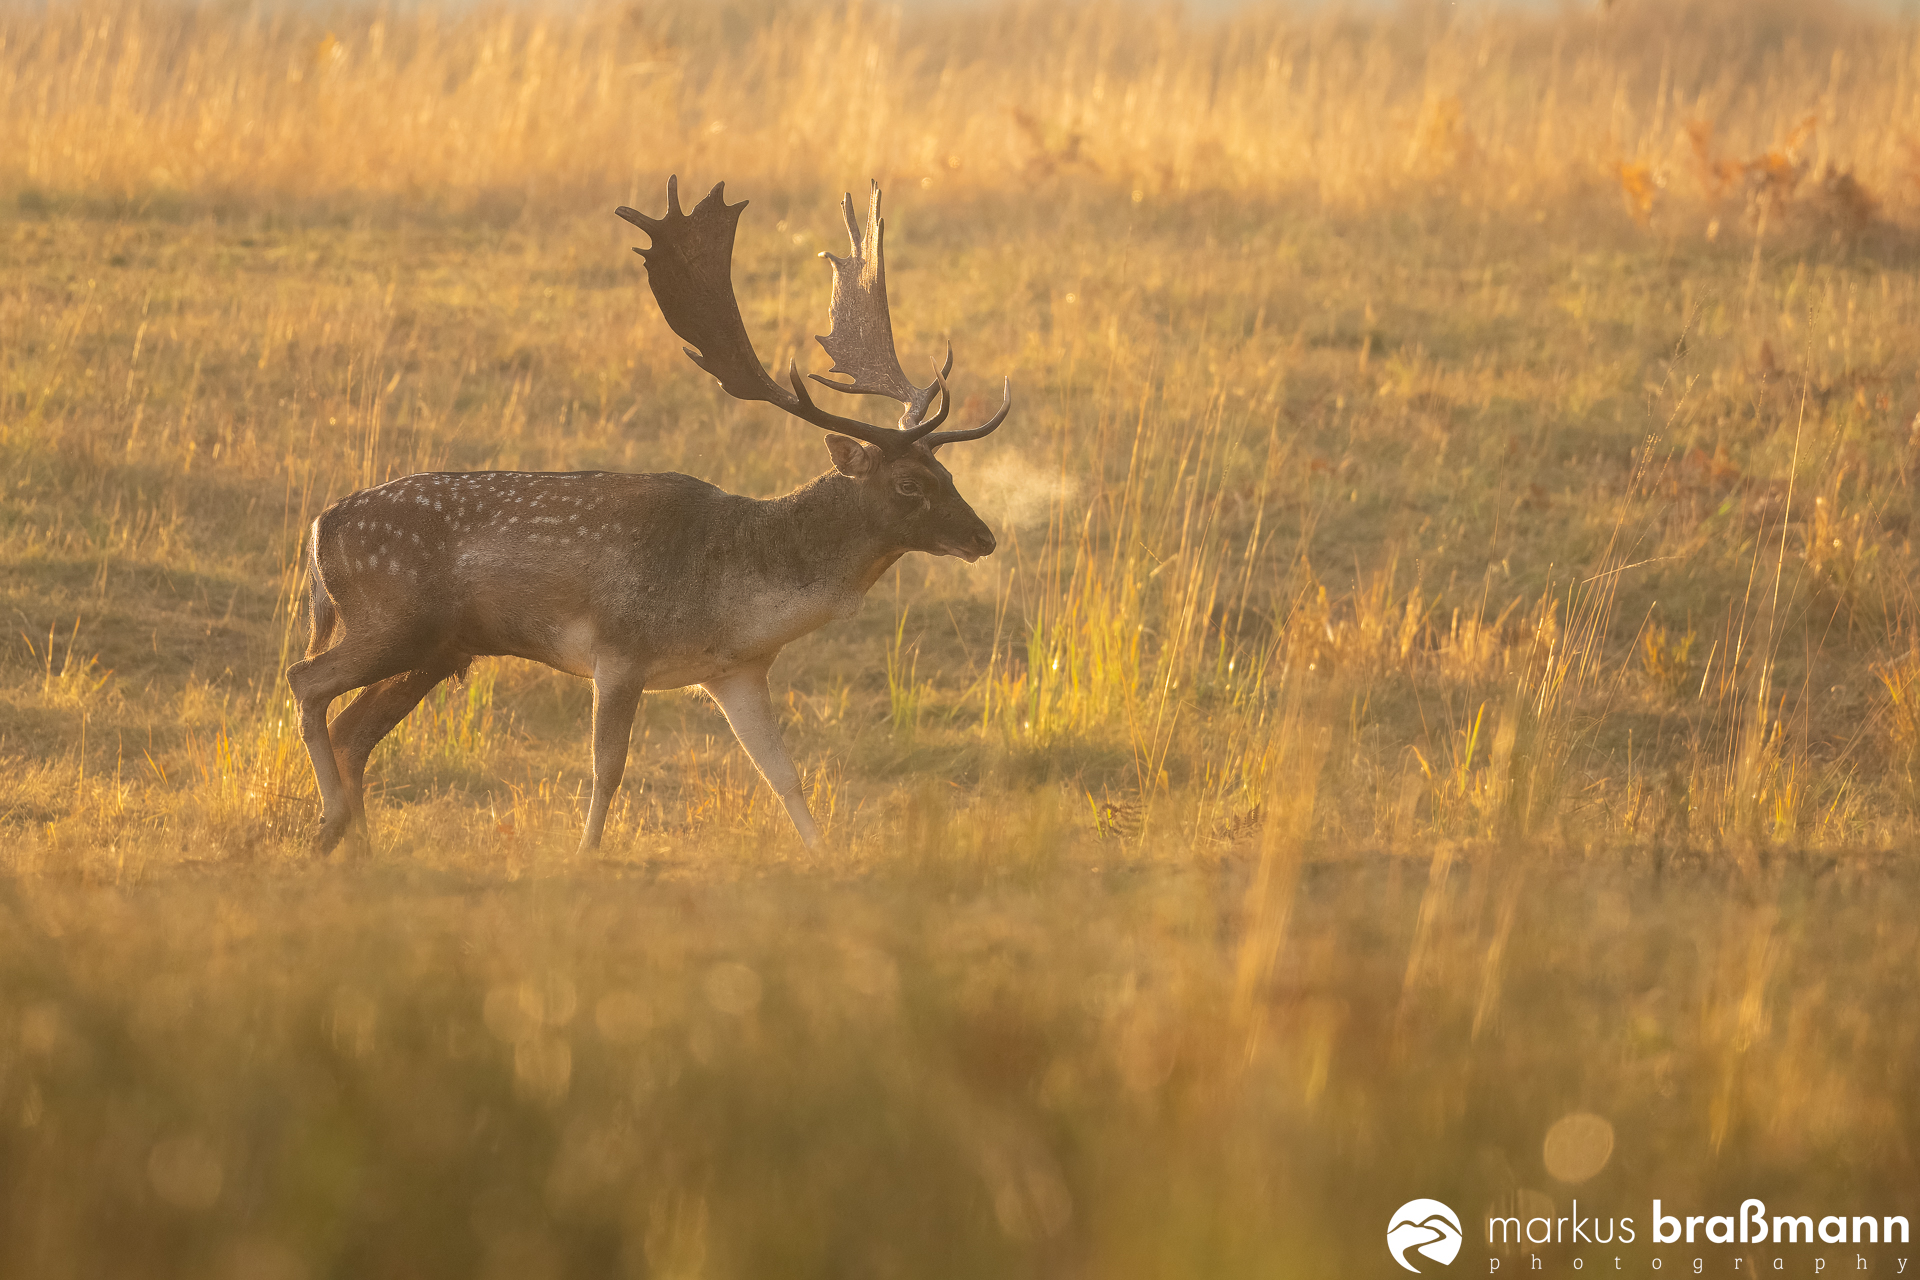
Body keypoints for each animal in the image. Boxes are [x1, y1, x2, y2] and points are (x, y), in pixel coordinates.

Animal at [286, 177, 1021, 859]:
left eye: (949, 475)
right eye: (910, 484)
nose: (982, 537)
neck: (735, 596)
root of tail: (320, 529)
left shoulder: (735, 671)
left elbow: (783, 775)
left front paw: (826, 857)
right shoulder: (618, 650)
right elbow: (606, 770)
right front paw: (585, 855)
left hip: (439, 648)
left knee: (353, 731)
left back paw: (355, 845)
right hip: (394, 618)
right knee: (306, 680)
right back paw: (330, 821)